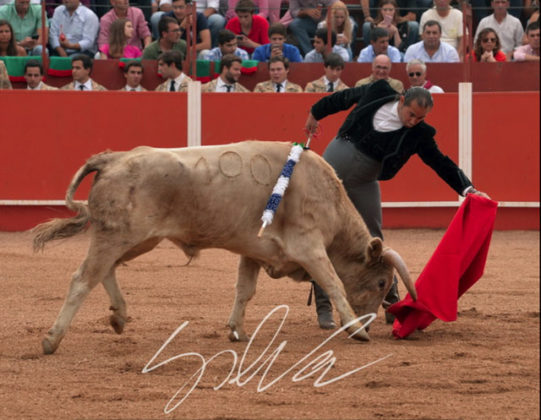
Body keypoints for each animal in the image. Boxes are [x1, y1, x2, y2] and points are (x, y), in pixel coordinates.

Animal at [32, 141, 414, 354]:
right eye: (381, 282)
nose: (371, 324)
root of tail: (112, 158)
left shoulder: (253, 251)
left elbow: (244, 290)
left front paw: (236, 331)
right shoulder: (309, 247)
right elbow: (334, 283)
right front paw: (355, 331)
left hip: (137, 239)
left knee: (105, 270)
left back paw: (119, 317)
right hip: (119, 236)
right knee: (83, 278)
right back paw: (51, 340)